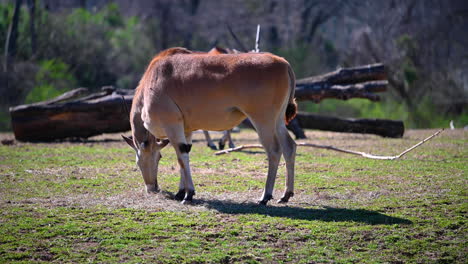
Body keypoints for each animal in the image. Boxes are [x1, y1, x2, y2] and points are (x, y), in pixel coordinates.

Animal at [123, 47, 296, 204]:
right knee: (289, 146)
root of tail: (283, 63)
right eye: (158, 157)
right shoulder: (185, 130)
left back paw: (265, 196)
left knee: (274, 150)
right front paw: (180, 192)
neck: (153, 79)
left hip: (263, 120)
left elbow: (181, 157)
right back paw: (286, 195)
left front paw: (188, 195)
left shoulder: (172, 126)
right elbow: (184, 154)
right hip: (278, 121)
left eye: (138, 161)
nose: (152, 188)